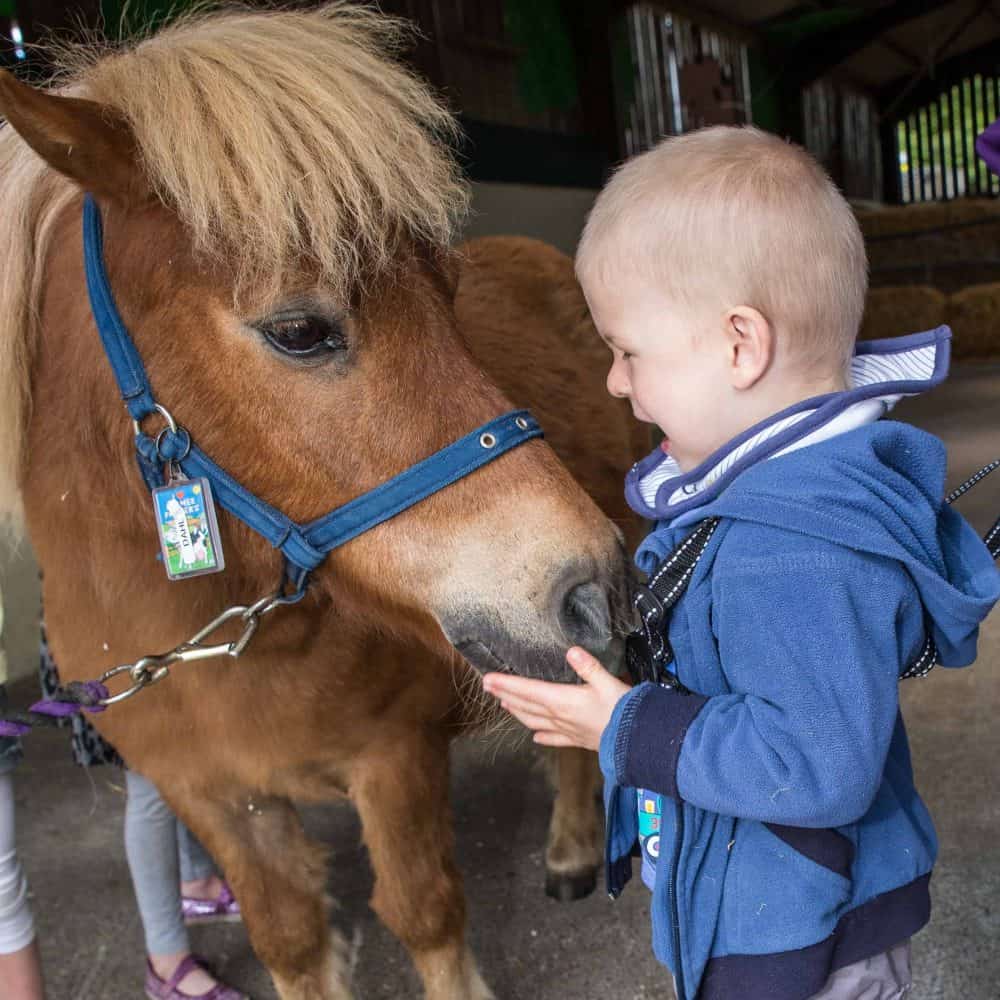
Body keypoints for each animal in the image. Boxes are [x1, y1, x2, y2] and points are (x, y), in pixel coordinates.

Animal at [0, 7, 643, 998]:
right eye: (299, 330)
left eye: (447, 292)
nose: (591, 588)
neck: (204, 635)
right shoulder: (215, 798)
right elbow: (290, 940)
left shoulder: (394, 757)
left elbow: (425, 912)